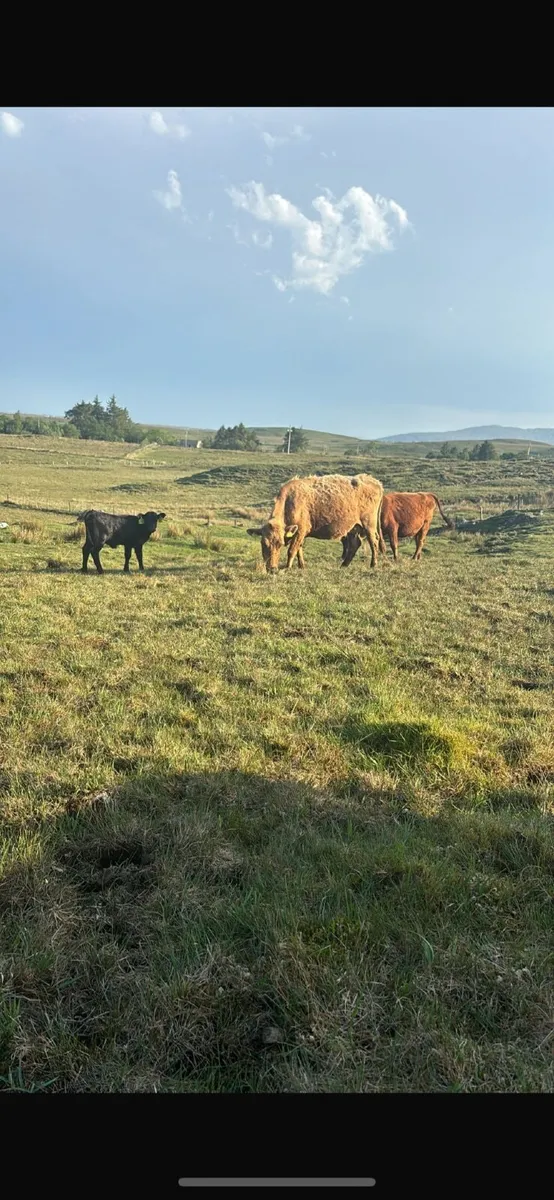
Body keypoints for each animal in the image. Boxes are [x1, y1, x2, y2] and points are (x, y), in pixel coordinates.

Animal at [247, 473, 384, 573]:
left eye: (280, 544)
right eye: (263, 544)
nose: (272, 568)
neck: (289, 502)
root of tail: (374, 481)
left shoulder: (300, 531)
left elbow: (292, 550)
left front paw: (287, 567)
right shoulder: (299, 533)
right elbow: (299, 549)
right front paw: (301, 565)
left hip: (369, 525)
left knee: (373, 542)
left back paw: (373, 564)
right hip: (353, 527)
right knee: (355, 544)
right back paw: (344, 565)